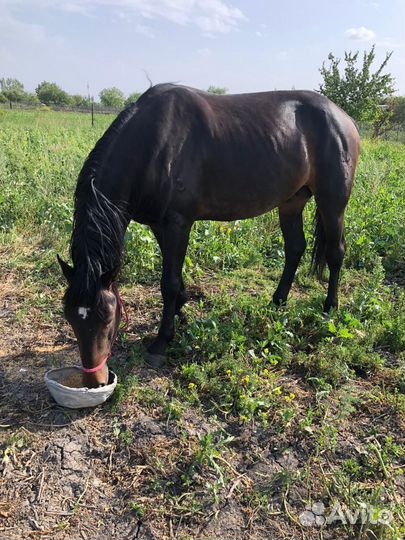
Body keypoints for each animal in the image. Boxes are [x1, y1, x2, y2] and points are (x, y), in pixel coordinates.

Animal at [57, 83, 360, 388]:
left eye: (108, 318)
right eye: (70, 317)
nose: (95, 381)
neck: (152, 144)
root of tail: (343, 117)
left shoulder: (178, 222)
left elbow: (168, 282)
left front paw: (161, 341)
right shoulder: (159, 224)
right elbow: (174, 277)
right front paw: (180, 311)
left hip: (332, 201)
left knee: (336, 252)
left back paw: (329, 308)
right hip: (291, 201)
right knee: (295, 248)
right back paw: (277, 302)